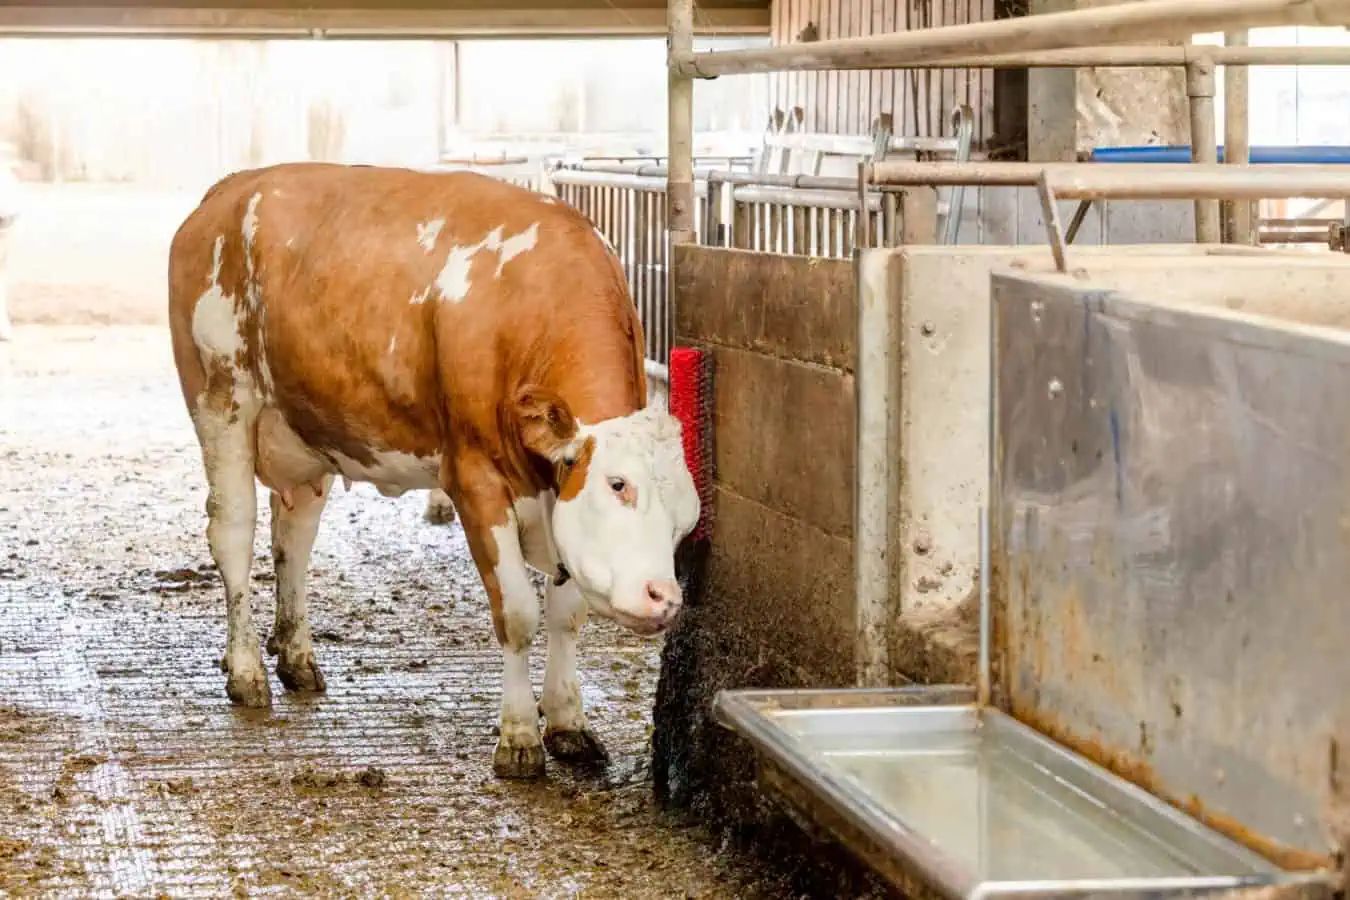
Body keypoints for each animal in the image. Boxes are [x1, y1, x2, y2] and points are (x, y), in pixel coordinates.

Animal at [167, 163, 700, 778]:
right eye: (618, 485)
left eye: (688, 519)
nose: (665, 598)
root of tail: (228, 190)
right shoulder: (475, 479)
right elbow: (518, 613)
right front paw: (519, 735)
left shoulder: (556, 496)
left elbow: (567, 614)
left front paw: (568, 723)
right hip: (222, 399)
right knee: (233, 532)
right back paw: (246, 670)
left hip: (305, 429)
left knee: (293, 540)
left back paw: (296, 657)